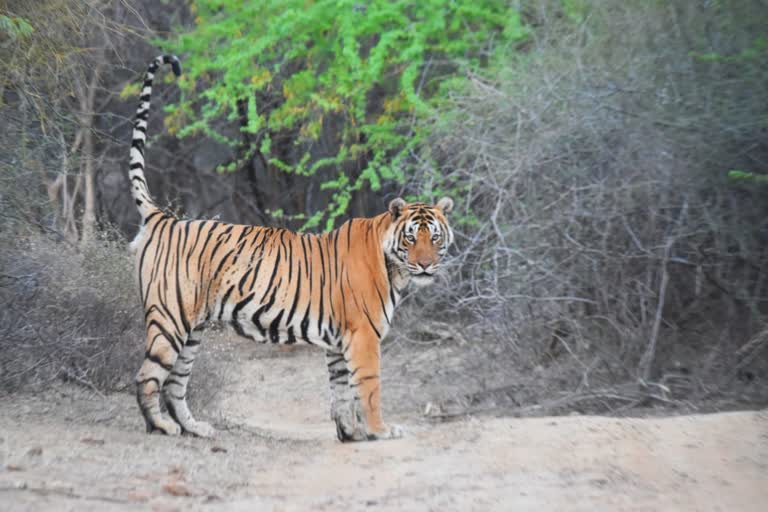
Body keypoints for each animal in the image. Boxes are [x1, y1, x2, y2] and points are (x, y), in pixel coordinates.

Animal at [126, 55, 450, 440]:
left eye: (435, 237)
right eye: (411, 237)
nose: (427, 265)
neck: (395, 270)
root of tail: (163, 217)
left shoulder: (339, 342)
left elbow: (341, 391)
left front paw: (350, 434)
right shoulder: (363, 336)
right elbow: (369, 388)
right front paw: (380, 431)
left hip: (193, 330)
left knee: (176, 383)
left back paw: (196, 428)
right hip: (170, 318)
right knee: (146, 377)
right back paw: (160, 426)